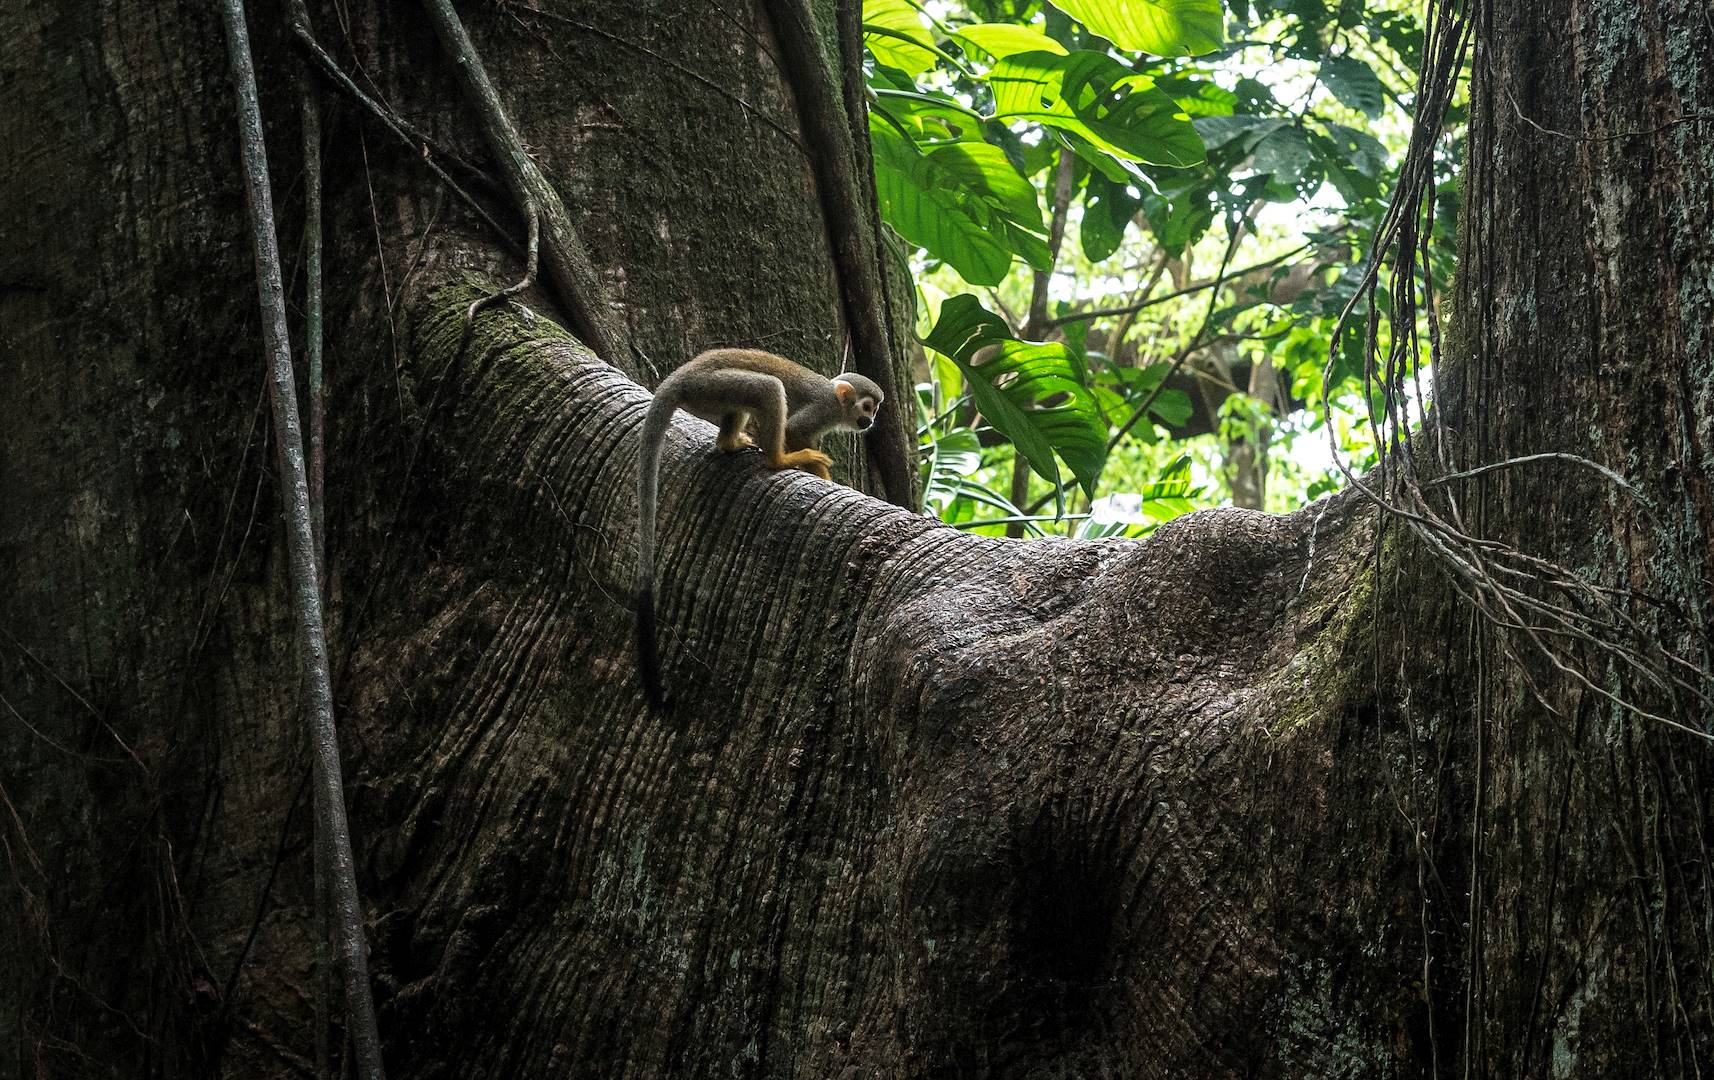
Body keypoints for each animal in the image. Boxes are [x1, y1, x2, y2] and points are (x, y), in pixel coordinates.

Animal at [634, 348, 885, 709]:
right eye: (867, 407)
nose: (871, 421)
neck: (837, 400)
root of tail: (678, 377)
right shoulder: (823, 408)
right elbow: (795, 429)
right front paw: (812, 468)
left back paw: (729, 443)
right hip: (711, 386)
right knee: (768, 388)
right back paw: (778, 460)